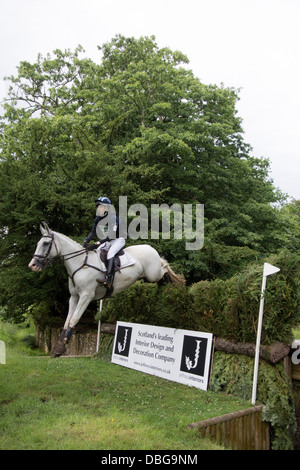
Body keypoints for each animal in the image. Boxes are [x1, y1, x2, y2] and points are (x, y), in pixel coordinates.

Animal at [28, 223, 184, 356]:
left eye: (46, 243)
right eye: (37, 244)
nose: (33, 265)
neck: (80, 263)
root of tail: (150, 248)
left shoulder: (86, 296)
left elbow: (74, 320)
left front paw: (61, 348)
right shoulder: (74, 297)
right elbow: (67, 321)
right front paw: (58, 348)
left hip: (153, 273)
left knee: (165, 267)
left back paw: (172, 284)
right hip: (148, 277)